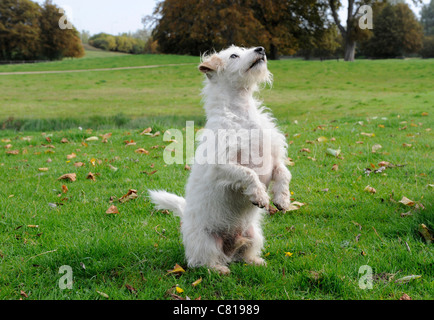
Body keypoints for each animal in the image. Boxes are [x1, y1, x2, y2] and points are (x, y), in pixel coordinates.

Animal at [148, 45, 292, 276]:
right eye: (233, 55)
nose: (260, 49)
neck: (241, 112)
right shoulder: (222, 166)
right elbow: (249, 174)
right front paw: (260, 195)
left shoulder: (274, 159)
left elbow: (284, 174)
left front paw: (282, 199)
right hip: (205, 242)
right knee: (201, 262)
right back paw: (218, 270)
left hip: (254, 235)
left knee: (243, 255)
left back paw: (255, 261)